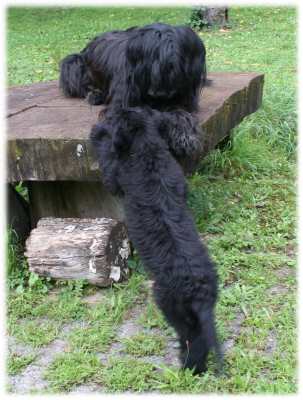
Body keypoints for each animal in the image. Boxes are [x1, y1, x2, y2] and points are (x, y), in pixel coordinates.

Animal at [91, 107, 222, 376]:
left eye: (114, 118)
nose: (105, 114)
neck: (147, 147)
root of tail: (200, 292)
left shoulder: (113, 175)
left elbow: (106, 156)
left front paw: (96, 133)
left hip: (173, 308)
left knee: (191, 340)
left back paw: (188, 366)